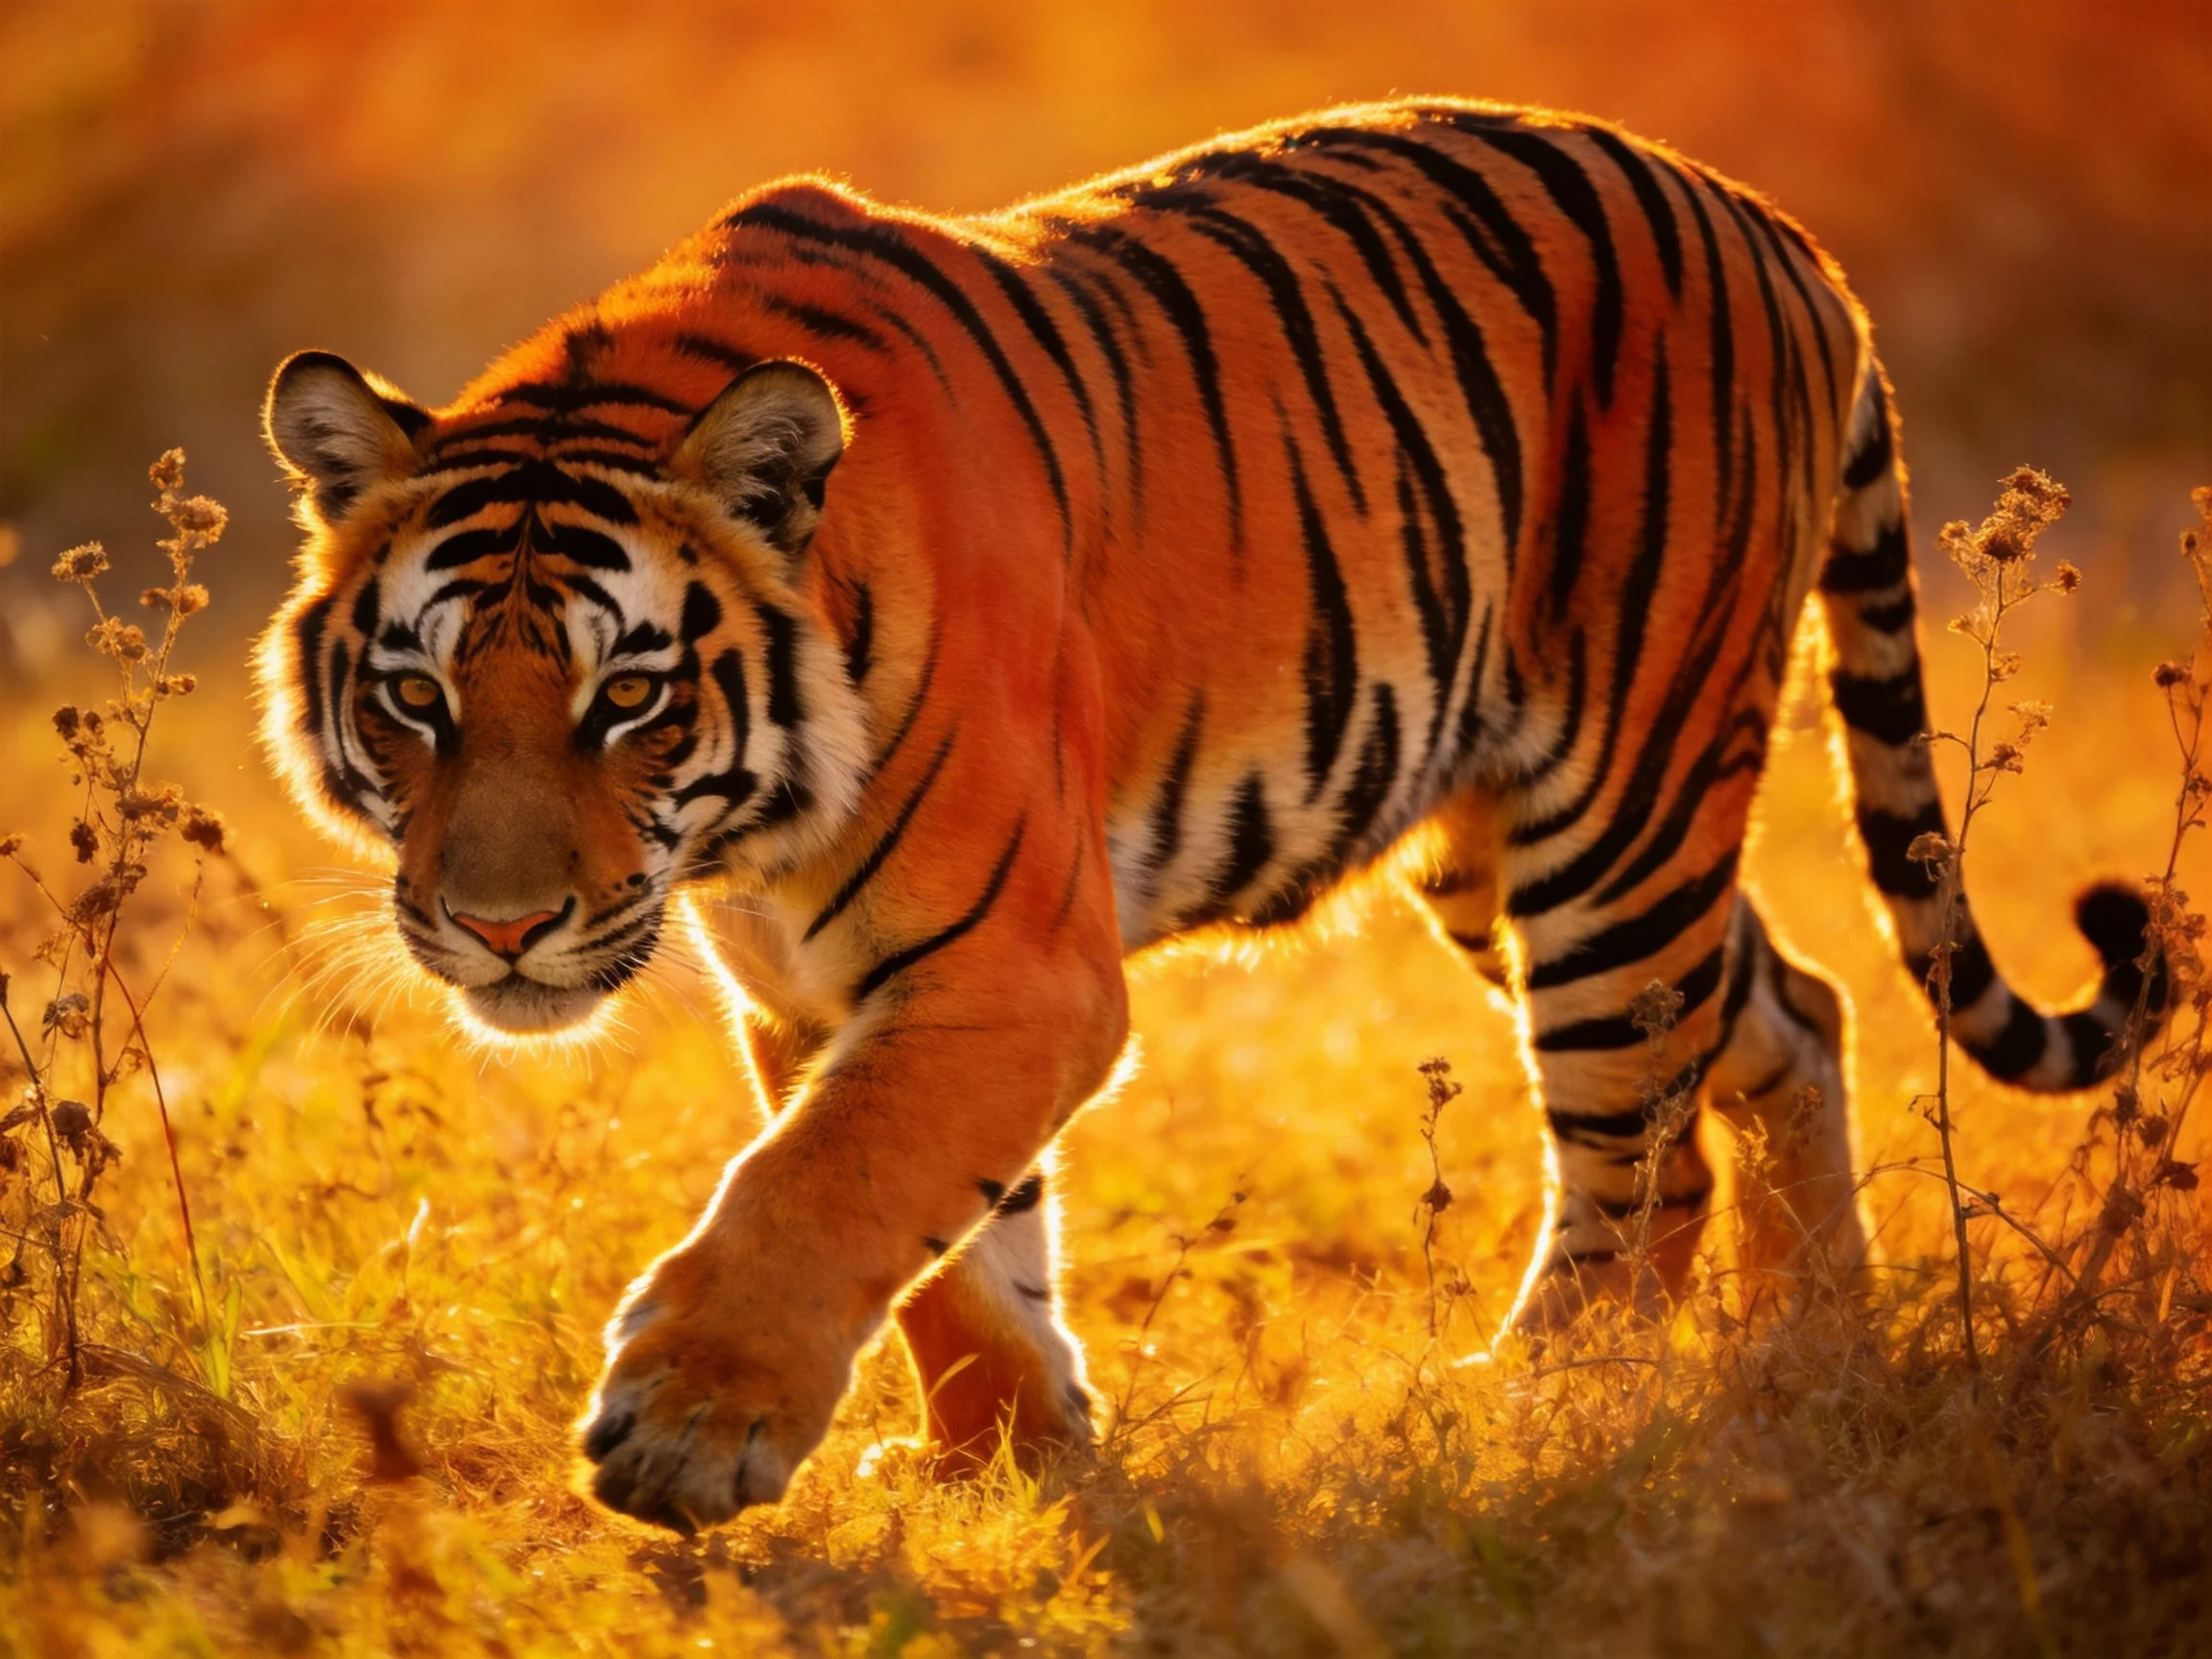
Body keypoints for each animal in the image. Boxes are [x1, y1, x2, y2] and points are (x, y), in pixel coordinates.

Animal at [258, 97, 2161, 1533]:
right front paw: (1009, 1463)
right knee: (1791, 1008)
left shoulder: (1009, 967)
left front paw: (682, 1428)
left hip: (1620, 807)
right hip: (1506, 842)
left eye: (628, 698)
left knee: (1634, 1139)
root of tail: (1777, 227)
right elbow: (955, 1252)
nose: (500, 927)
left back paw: (1545, 1400)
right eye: (417, 698)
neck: (752, 831)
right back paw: (1812, 1359)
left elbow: (827, 1183)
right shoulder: (816, 989)